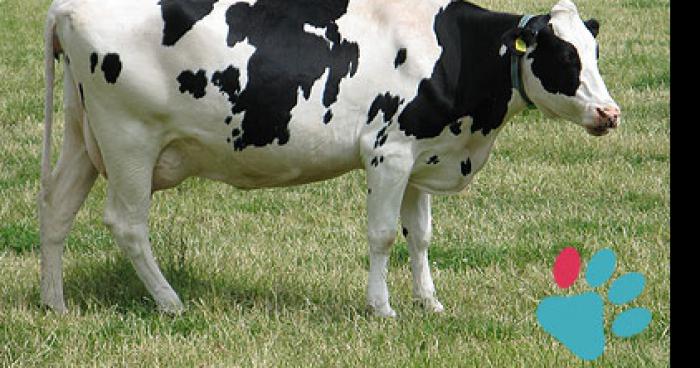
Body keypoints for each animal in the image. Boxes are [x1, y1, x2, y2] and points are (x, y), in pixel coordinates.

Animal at [41, 0, 616, 316]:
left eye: (594, 52)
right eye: (564, 55)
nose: (610, 113)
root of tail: (69, 7)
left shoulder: (422, 155)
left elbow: (421, 236)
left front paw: (429, 303)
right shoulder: (388, 152)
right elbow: (383, 236)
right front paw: (382, 308)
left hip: (81, 136)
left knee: (57, 210)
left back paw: (56, 304)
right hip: (129, 140)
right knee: (127, 224)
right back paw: (169, 301)